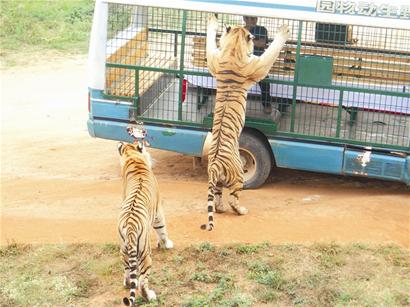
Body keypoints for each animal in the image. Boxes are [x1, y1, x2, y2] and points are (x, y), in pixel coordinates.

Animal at [117, 141, 173, 306]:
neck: (132, 157)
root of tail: (130, 228)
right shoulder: (159, 212)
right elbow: (162, 230)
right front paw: (167, 244)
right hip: (145, 253)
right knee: (142, 282)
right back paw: (150, 296)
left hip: (124, 251)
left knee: (129, 274)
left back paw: (127, 283)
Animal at [201, 14, 290, 231]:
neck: (234, 47)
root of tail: (215, 166)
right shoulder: (258, 66)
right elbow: (270, 52)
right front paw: (284, 30)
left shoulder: (214, 61)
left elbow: (210, 44)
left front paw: (212, 21)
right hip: (239, 175)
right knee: (233, 199)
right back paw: (241, 211)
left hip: (215, 181)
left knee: (217, 198)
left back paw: (221, 208)